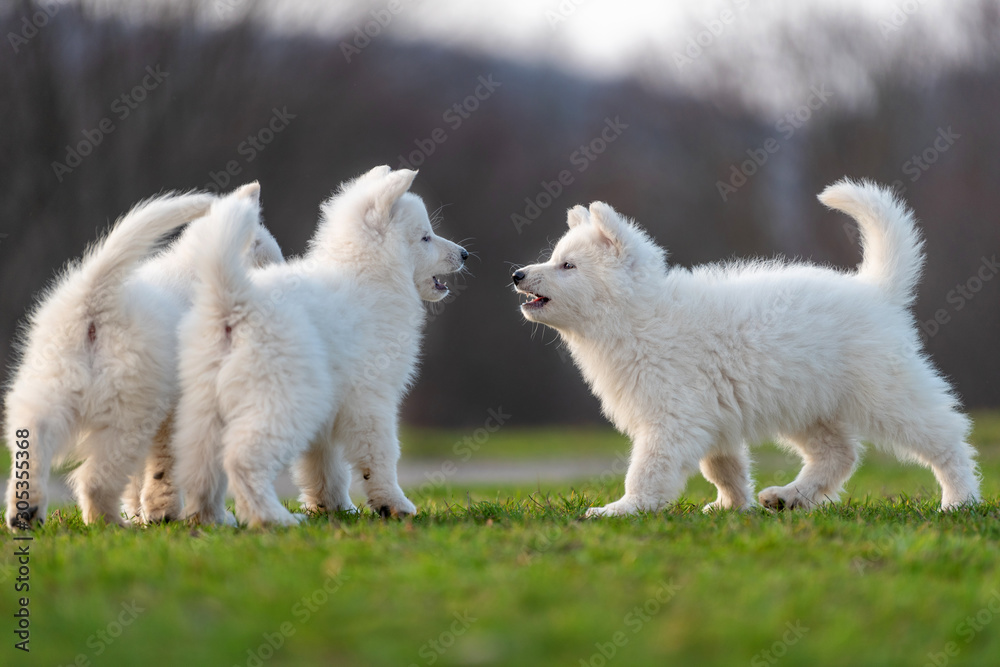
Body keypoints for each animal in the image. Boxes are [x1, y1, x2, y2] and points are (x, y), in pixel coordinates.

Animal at [4, 187, 282, 528]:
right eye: (271, 260)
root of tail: (96, 298)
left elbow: (143, 477)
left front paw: (144, 515)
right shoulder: (182, 413)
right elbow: (171, 470)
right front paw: (175, 514)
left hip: (43, 394)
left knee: (31, 451)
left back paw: (26, 513)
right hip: (130, 417)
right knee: (94, 479)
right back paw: (109, 524)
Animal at [174, 166, 466, 528]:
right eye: (426, 237)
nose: (465, 254)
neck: (370, 273)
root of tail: (235, 303)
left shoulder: (331, 411)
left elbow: (325, 466)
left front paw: (334, 508)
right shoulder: (371, 399)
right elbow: (381, 455)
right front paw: (394, 505)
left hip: (204, 407)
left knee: (199, 466)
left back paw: (210, 520)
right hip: (286, 399)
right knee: (243, 459)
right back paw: (273, 518)